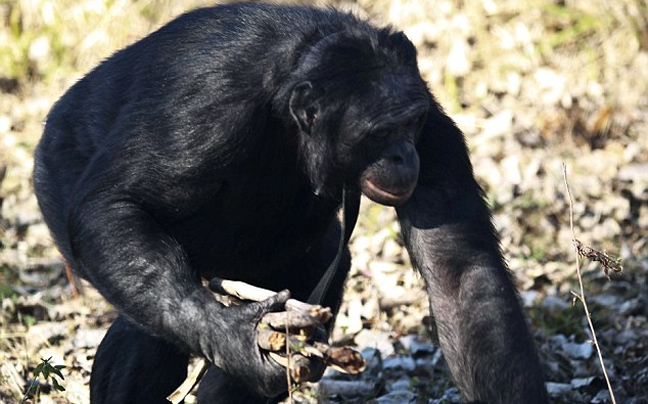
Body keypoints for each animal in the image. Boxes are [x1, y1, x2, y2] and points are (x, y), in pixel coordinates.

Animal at [31, 3, 548, 404]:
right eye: (380, 132)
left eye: (410, 123)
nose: (404, 154)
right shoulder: (203, 104)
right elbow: (116, 204)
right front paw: (234, 342)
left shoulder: (434, 129)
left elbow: (459, 274)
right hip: (57, 167)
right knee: (148, 316)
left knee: (319, 263)